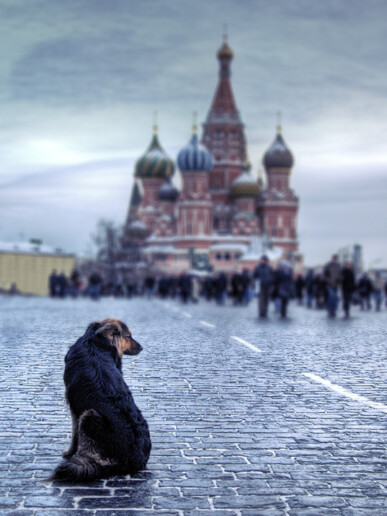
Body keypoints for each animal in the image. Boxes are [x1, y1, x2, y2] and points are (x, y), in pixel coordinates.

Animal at [52, 316, 152, 482]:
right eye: (129, 336)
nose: (142, 347)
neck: (95, 342)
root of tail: (135, 461)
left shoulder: (74, 408)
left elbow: (74, 435)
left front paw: (69, 452)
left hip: (89, 415)